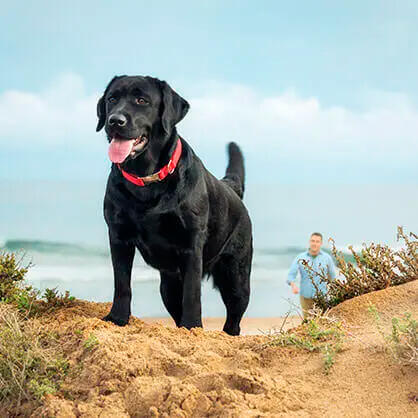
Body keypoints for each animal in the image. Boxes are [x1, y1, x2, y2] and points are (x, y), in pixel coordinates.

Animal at [95, 76, 251, 336]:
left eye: (142, 100)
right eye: (112, 99)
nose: (114, 120)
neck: (147, 180)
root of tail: (230, 187)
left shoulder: (191, 245)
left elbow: (192, 294)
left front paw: (193, 327)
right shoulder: (118, 236)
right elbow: (122, 283)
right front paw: (117, 318)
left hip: (236, 279)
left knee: (234, 319)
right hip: (168, 286)